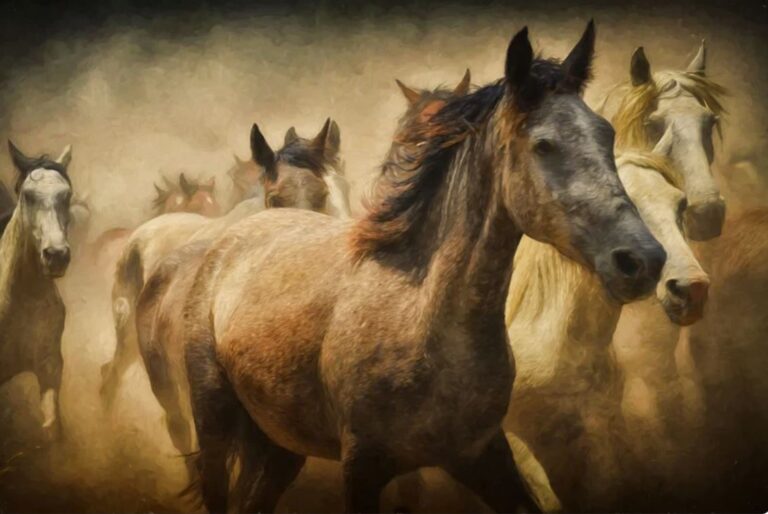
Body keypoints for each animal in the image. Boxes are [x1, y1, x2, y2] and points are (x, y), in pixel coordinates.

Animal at [179, 22, 667, 513]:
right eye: (544, 144)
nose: (642, 260)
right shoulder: (363, 467)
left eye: (606, 134)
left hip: (281, 444)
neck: (423, 317)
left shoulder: (482, 455)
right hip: (215, 420)